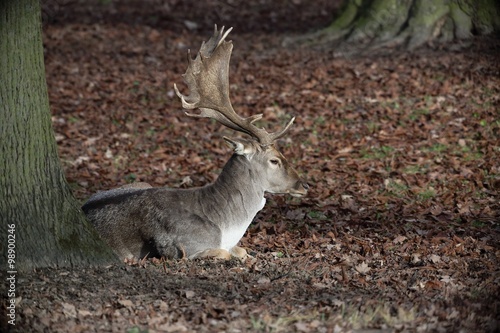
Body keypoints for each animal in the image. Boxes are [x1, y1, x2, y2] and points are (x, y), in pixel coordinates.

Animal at [81, 25, 306, 260]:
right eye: (274, 160)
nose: (304, 185)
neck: (226, 228)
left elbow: (242, 250)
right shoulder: (183, 247)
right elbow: (224, 254)